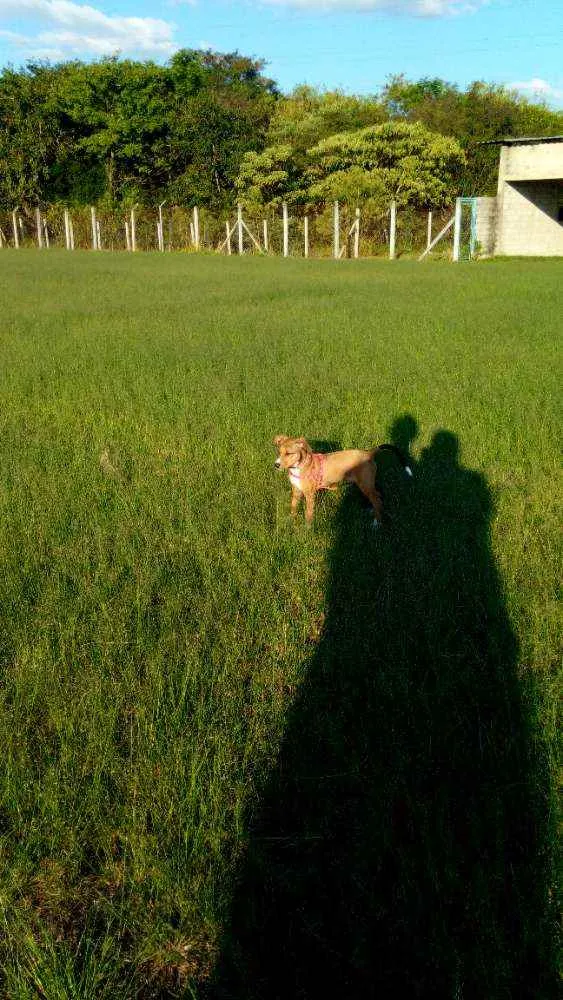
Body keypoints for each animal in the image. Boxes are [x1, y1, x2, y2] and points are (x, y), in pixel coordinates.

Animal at [274, 436, 414, 528]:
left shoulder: (310, 495)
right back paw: (373, 512)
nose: (276, 465)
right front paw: (291, 520)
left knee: (376, 500)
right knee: (378, 496)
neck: (300, 466)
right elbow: (293, 506)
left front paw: (307, 529)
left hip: (365, 485)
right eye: (279, 452)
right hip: (368, 484)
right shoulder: (296, 491)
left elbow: (308, 514)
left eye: (289, 453)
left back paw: (377, 522)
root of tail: (369, 453)